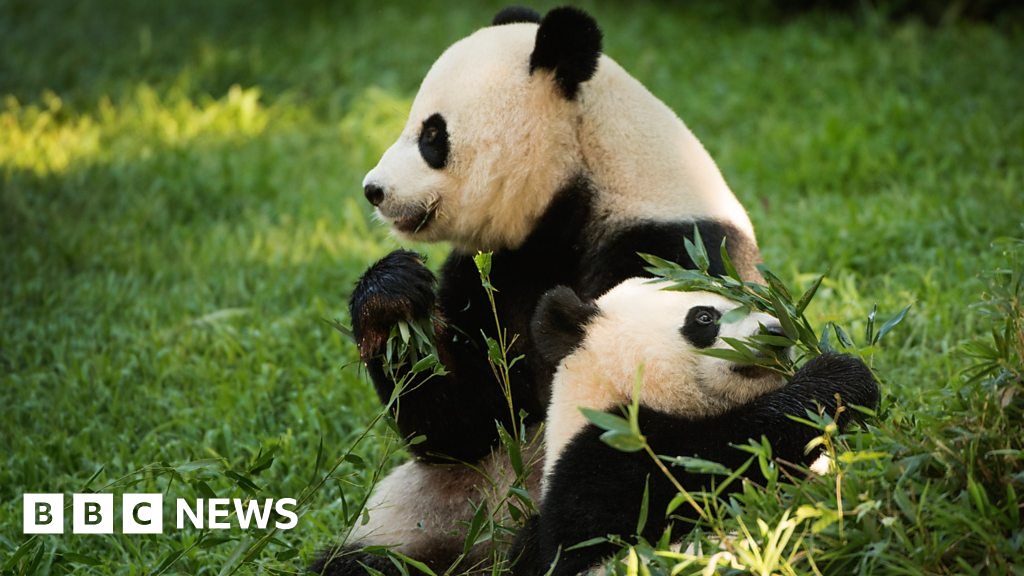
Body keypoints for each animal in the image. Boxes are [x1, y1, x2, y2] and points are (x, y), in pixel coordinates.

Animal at [315, 5, 765, 573]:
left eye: (433, 136)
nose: (373, 190)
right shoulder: (497, 267)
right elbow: (463, 425)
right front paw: (392, 294)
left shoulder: (674, 246)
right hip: (430, 510)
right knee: (361, 558)